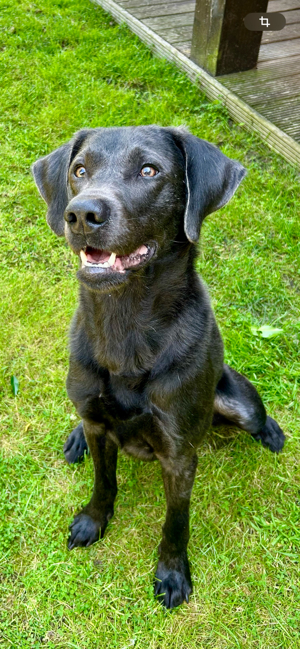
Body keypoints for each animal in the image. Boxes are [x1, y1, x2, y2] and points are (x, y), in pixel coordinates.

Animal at [31, 126, 284, 608]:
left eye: (150, 171)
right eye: (80, 171)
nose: (81, 214)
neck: (125, 325)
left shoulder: (180, 454)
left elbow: (175, 522)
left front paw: (172, 572)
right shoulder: (100, 425)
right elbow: (103, 480)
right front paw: (93, 520)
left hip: (239, 402)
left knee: (255, 416)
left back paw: (272, 433)